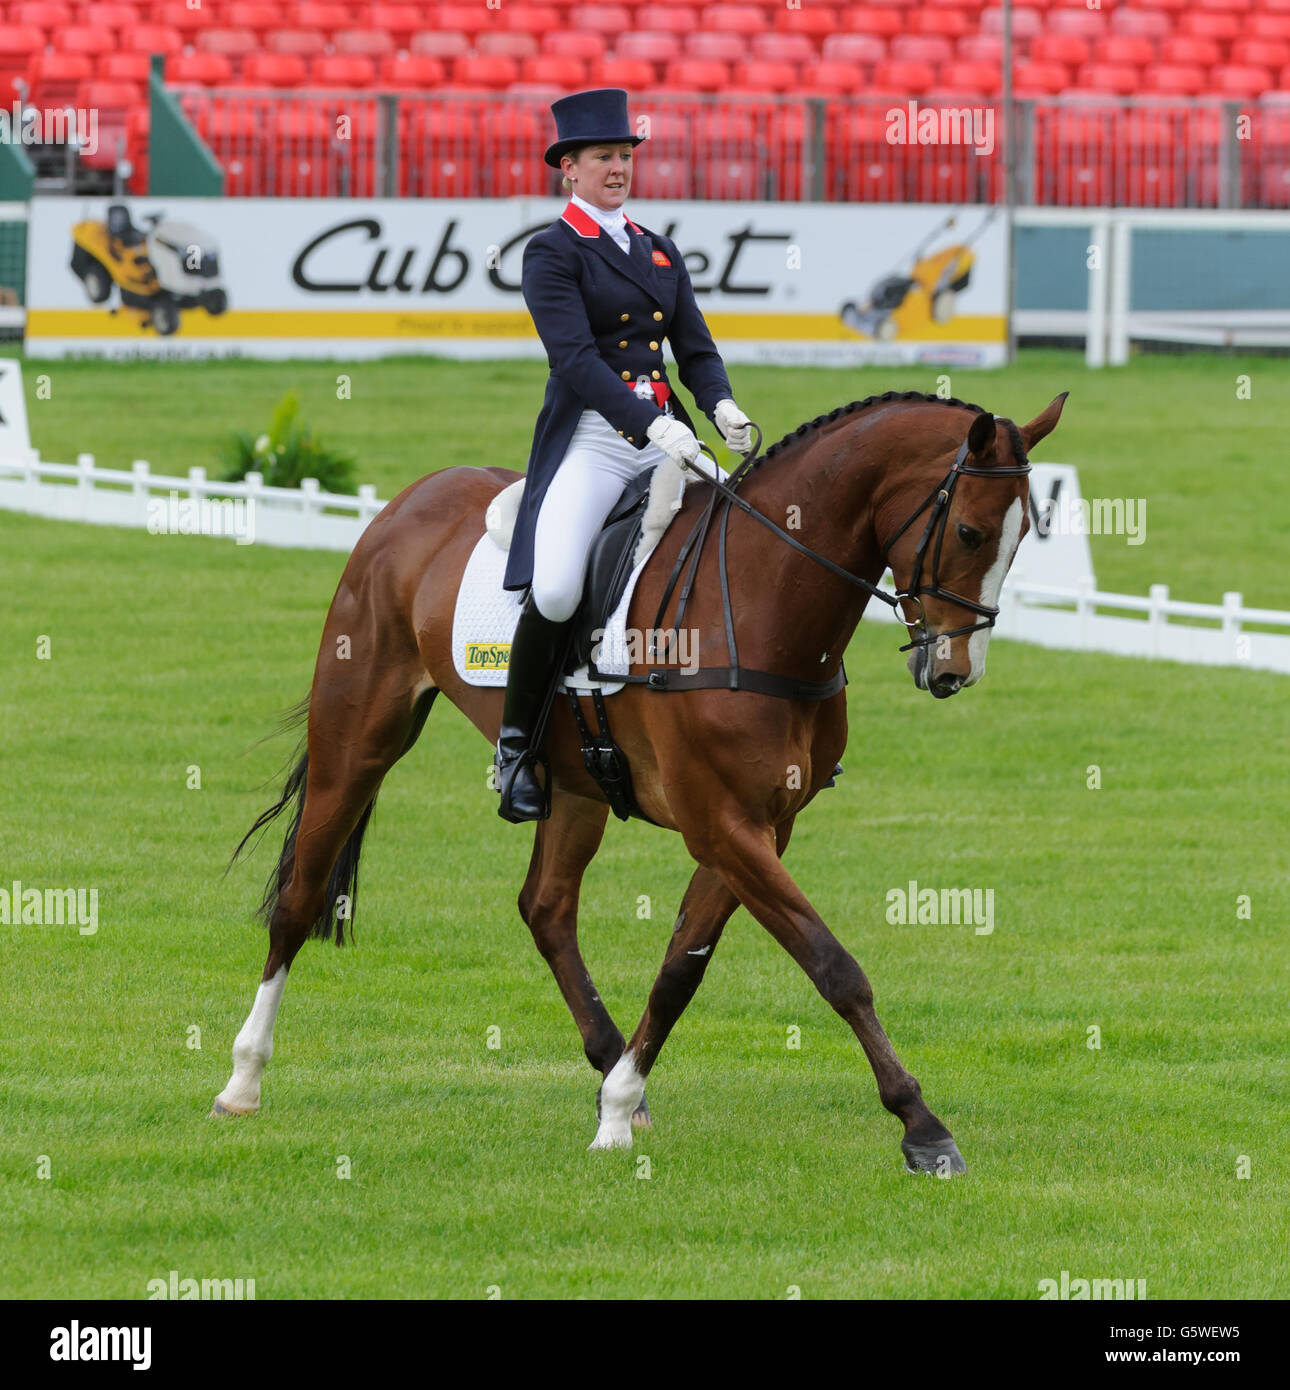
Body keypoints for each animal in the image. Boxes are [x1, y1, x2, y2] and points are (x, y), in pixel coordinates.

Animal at [216, 389, 1067, 1173]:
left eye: (1027, 537)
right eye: (970, 532)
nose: (954, 671)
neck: (761, 603)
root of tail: (411, 498)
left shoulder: (759, 826)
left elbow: (680, 970)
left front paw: (621, 1107)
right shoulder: (722, 823)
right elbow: (836, 967)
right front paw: (923, 1127)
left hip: (576, 787)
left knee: (546, 908)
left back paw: (608, 1069)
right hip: (357, 739)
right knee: (298, 897)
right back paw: (243, 1080)